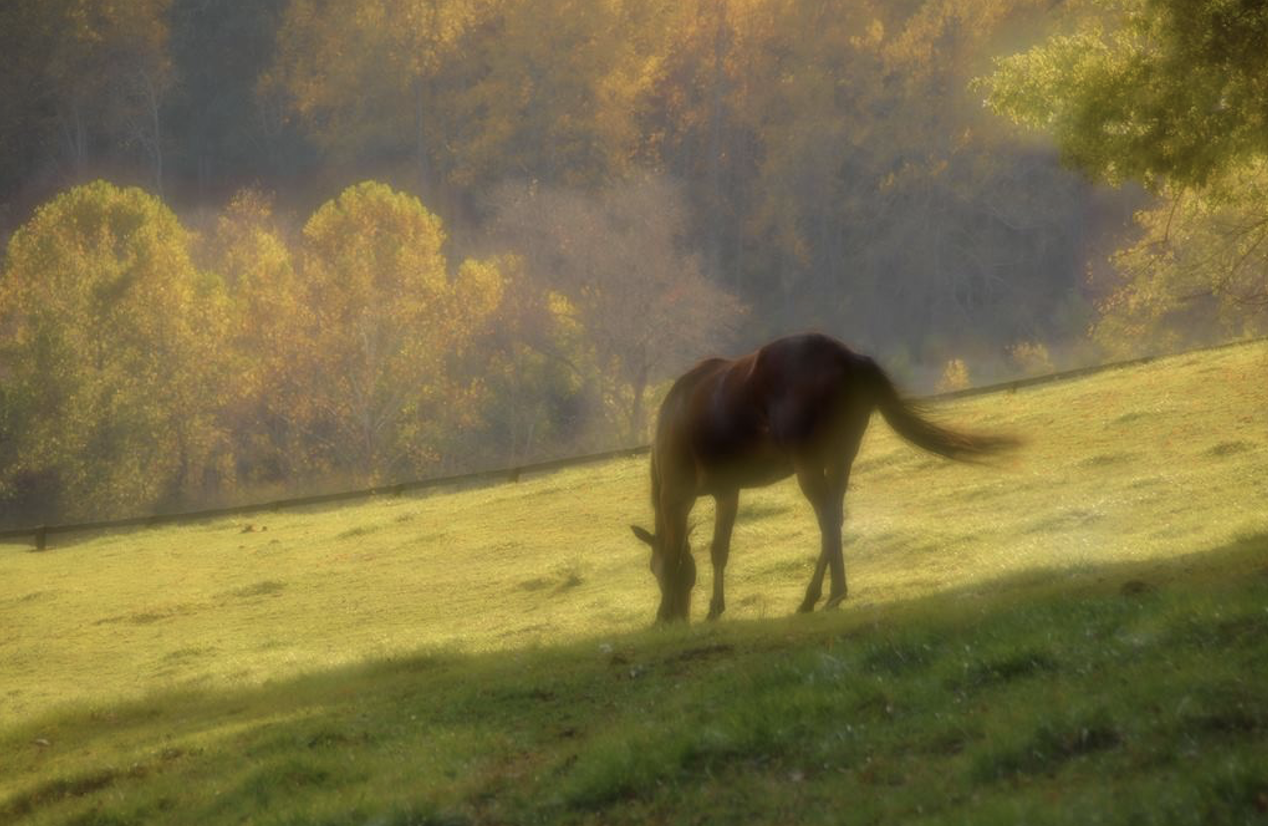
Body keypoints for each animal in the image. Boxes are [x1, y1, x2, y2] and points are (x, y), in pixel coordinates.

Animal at [630, 332, 1018, 622]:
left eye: (651, 569)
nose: (677, 617)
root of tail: (851, 360)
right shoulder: (728, 490)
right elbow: (718, 549)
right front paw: (714, 608)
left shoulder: (677, 493)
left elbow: (676, 549)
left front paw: (673, 611)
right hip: (841, 457)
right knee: (837, 516)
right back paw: (826, 593)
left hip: (808, 463)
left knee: (827, 518)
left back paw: (822, 595)